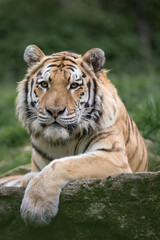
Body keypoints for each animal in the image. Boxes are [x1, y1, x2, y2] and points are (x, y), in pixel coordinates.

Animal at [0, 45, 148, 227]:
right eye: (44, 84)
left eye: (74, 85)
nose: (54, 111)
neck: (62, 142)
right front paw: (29, 181)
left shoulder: (114, 158)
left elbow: (62, 164)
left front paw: (35, 207)